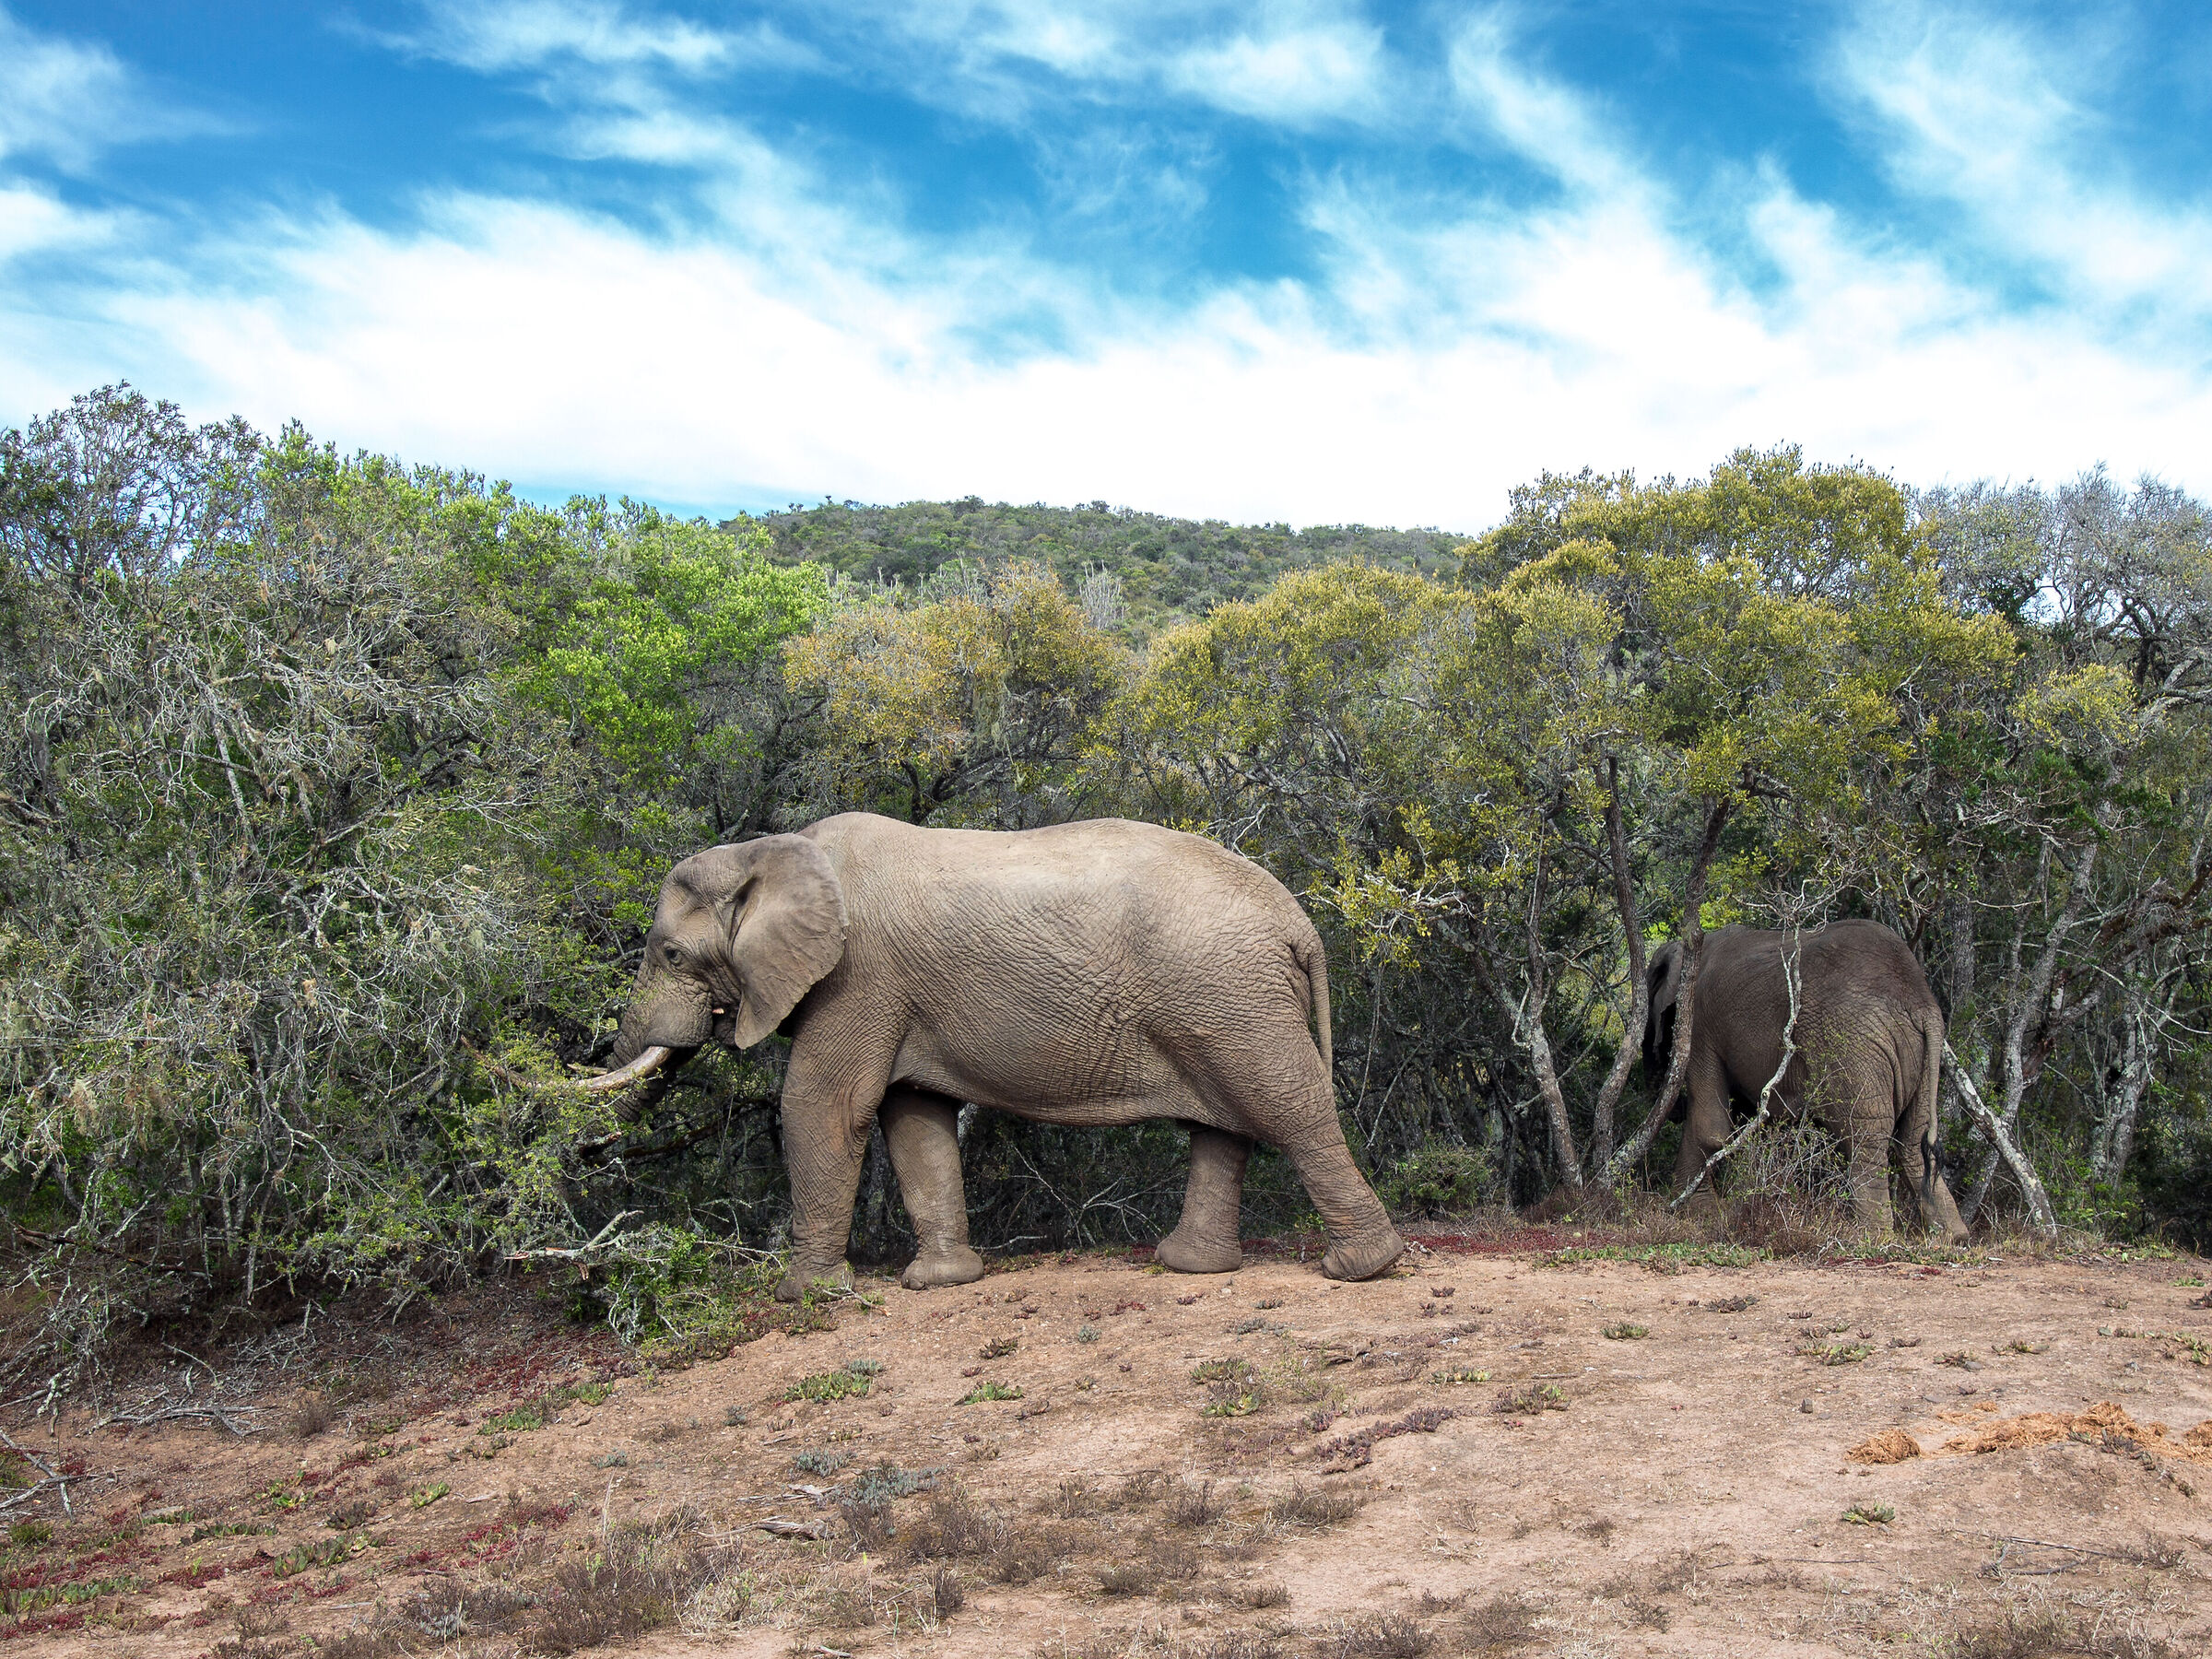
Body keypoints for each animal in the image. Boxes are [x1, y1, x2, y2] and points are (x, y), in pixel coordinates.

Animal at [571, 811, 1407, 1300]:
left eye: (670, 952)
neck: (767, 851)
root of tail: (1298, 921)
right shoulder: (897, 993)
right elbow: (913, 1118)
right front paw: (940, 1283)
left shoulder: (859, 978)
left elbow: (824, 1105)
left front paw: (806, 1295)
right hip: (1220, 1000)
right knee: (1224, 1126)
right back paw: (1190, 1267)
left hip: (1228, 994)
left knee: (1286, 1107)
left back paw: (1360, 1270)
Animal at [1644, 920, 1969, 1243]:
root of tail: (1922, 1005)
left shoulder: (1700, 1025)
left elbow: (1711, 1127)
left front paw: (1693, 1210)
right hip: (1919, 1058)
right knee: (1913, 1142)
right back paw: (1953, 1238)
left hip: (1852, 1047)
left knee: (1866, 1138)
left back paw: (1872, 1238)